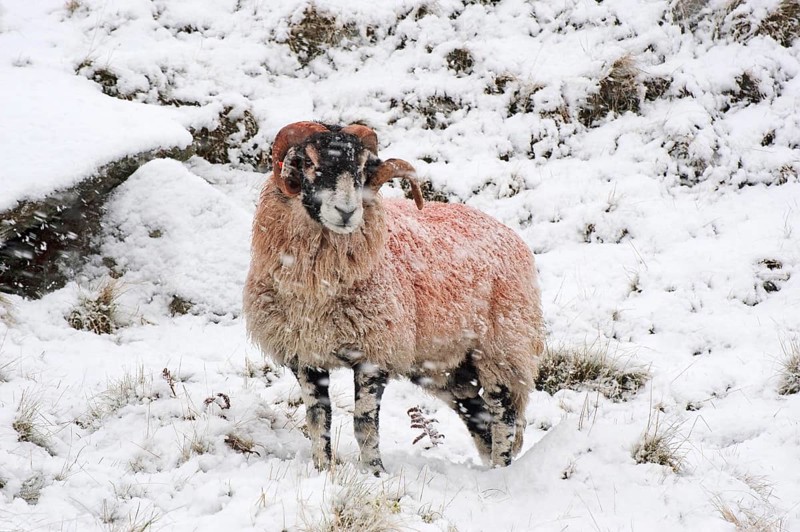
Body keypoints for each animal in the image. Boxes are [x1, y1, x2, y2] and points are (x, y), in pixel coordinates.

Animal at [243, 121, 544, 471]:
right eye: (308, 162)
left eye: (362, 168)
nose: (347, 212)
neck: (320, 289)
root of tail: (510, 234)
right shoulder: (305, 355)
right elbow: (318, 420)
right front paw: (323, 471)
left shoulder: (374, 353)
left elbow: (363, 422)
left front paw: (374, 472)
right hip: (444, 366)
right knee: (477, 413)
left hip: (502, 349)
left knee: (503, 414)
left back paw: (501, 469)